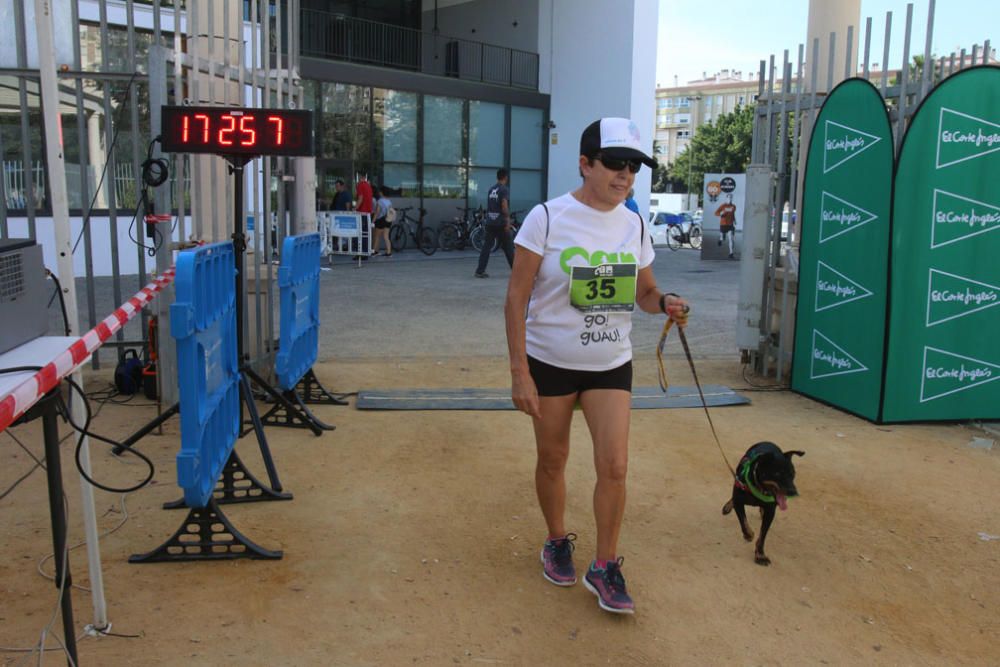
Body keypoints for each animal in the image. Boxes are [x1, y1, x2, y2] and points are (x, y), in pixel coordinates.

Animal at [724, 440, 800, 568]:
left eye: (793, 473)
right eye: (777, 473)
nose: (793, 492)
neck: (759, 488)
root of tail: (768, 442)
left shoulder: (770, 512)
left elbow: (762, 535)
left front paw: (760, 555)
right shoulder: (739, 501)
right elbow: (743, 522)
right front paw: (749, 535)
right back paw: (727, 507)